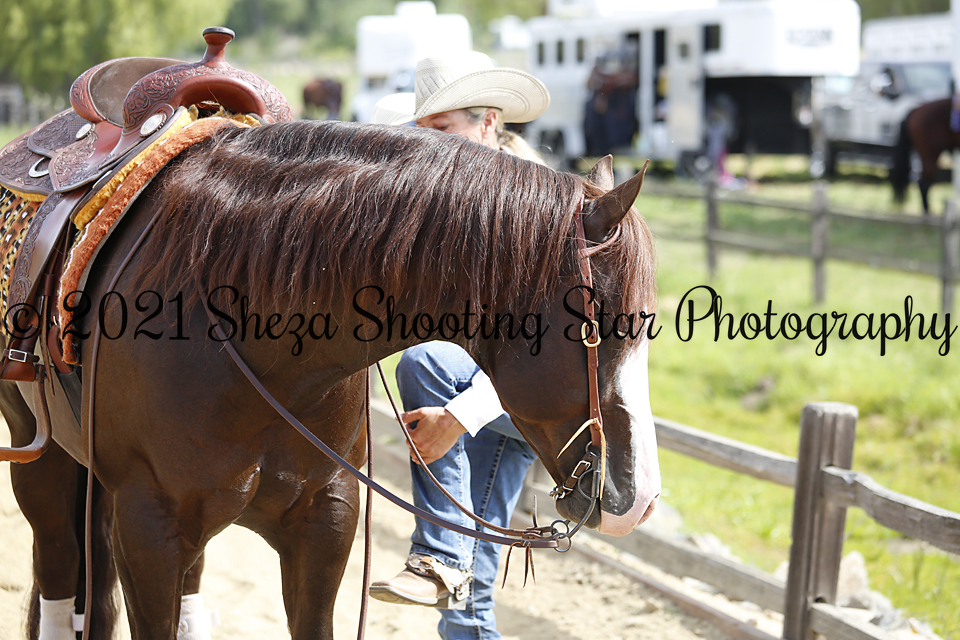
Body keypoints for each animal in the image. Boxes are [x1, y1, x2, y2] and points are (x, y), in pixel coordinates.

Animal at [3, 120, 660, 639]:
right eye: (605, 324)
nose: (641, 498)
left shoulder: (325, 522)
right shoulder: (148, 531)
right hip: (43, 461)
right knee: (58, 568)